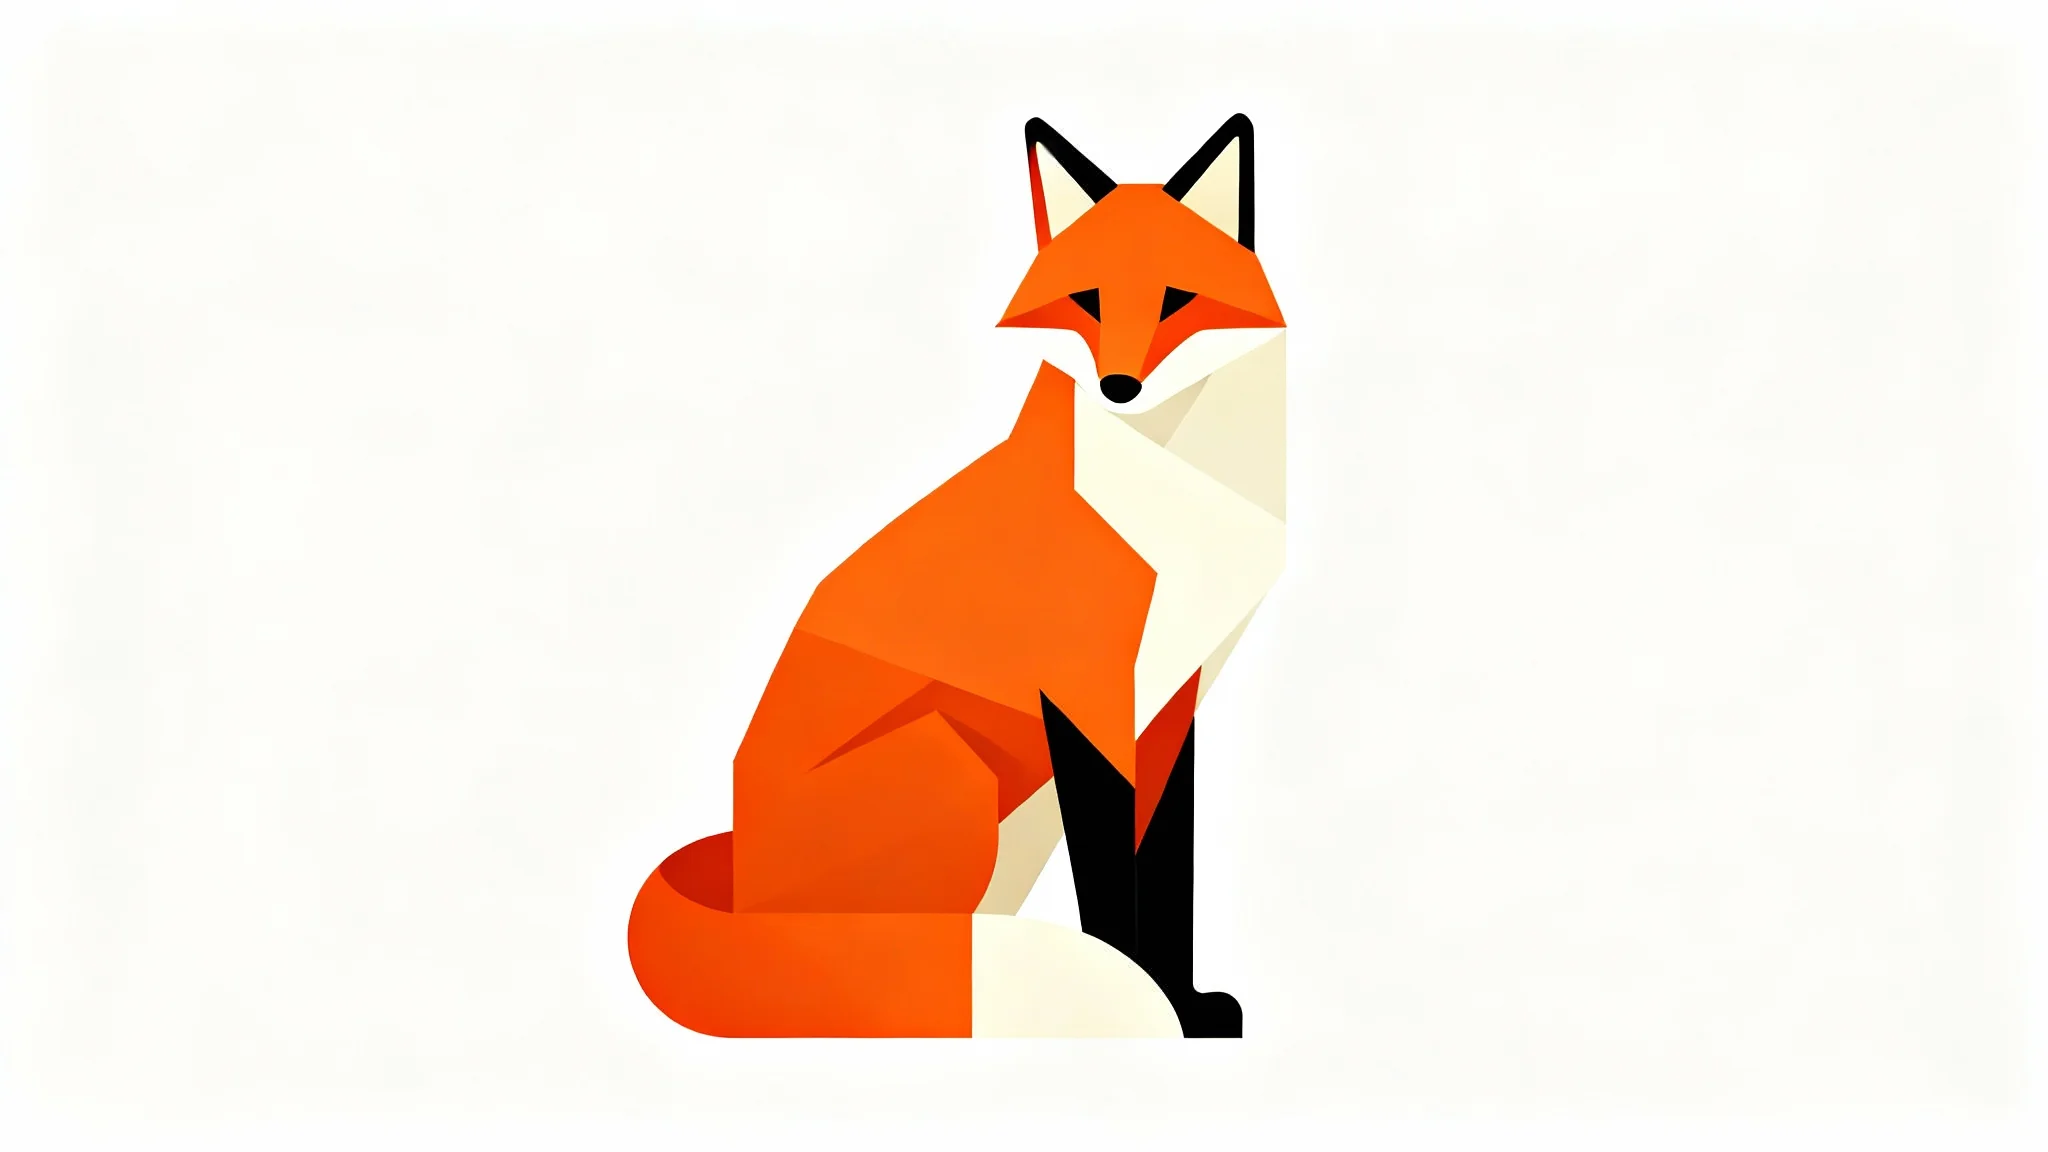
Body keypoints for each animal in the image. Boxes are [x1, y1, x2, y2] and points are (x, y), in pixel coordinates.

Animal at [626, 114, 1286, 1038]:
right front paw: (1146, 1000)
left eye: (1177, 302)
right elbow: (1113, 894)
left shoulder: (1167, 699)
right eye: (1086, 303)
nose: (1120, 386)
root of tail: (743, 886)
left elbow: (1165, 872)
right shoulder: (1085, 696)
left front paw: (1185, 1004)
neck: (1183, 500)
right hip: (953, 764)